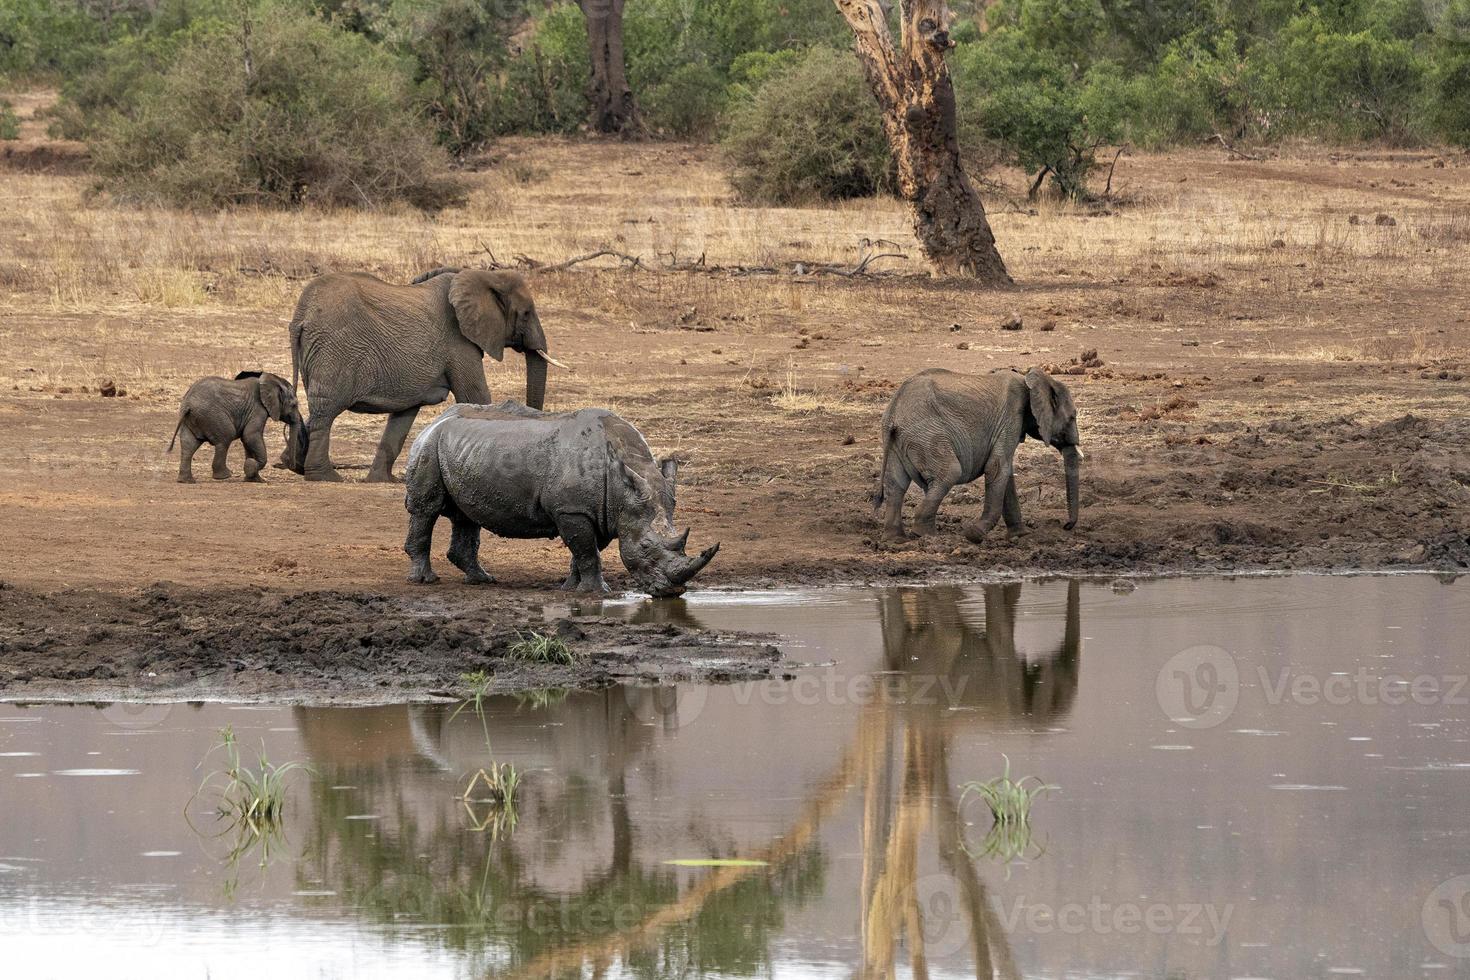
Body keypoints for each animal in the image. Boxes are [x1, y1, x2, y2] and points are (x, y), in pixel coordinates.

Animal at [167, 371, 304, 481]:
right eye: (294, 405)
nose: (276, 464)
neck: (272, 381)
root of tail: (188, 404)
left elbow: (247, 440)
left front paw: (254, 479)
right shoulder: (258, 409)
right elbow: (250, 436)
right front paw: (252, 467)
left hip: (192, 418)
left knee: (188, 444)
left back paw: (186, 481)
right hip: (212, 415)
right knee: (225, 438)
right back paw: (225, 476)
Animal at [280, 268, 555, 481]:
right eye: (526, 313)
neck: (485, 276)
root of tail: (300, 316)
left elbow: (404, 414)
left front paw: (382, 481)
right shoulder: (458, 343)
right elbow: (475, 397)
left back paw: (291, 463)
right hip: (335, 351)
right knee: (326, 411)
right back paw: (324, 476)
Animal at [870, 367, 1081, 543]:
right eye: (1072, 417)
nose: (1066, 526)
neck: (1031, 380)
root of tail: (893, 411)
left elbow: (1006, 474)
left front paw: (1021, 536)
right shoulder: (1011, 418)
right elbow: (996, 468)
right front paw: (974, 535)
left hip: (900, 440)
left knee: (896, 484)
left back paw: (896, 539)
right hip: (926, 435)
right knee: (949, 473)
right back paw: (925, 535)